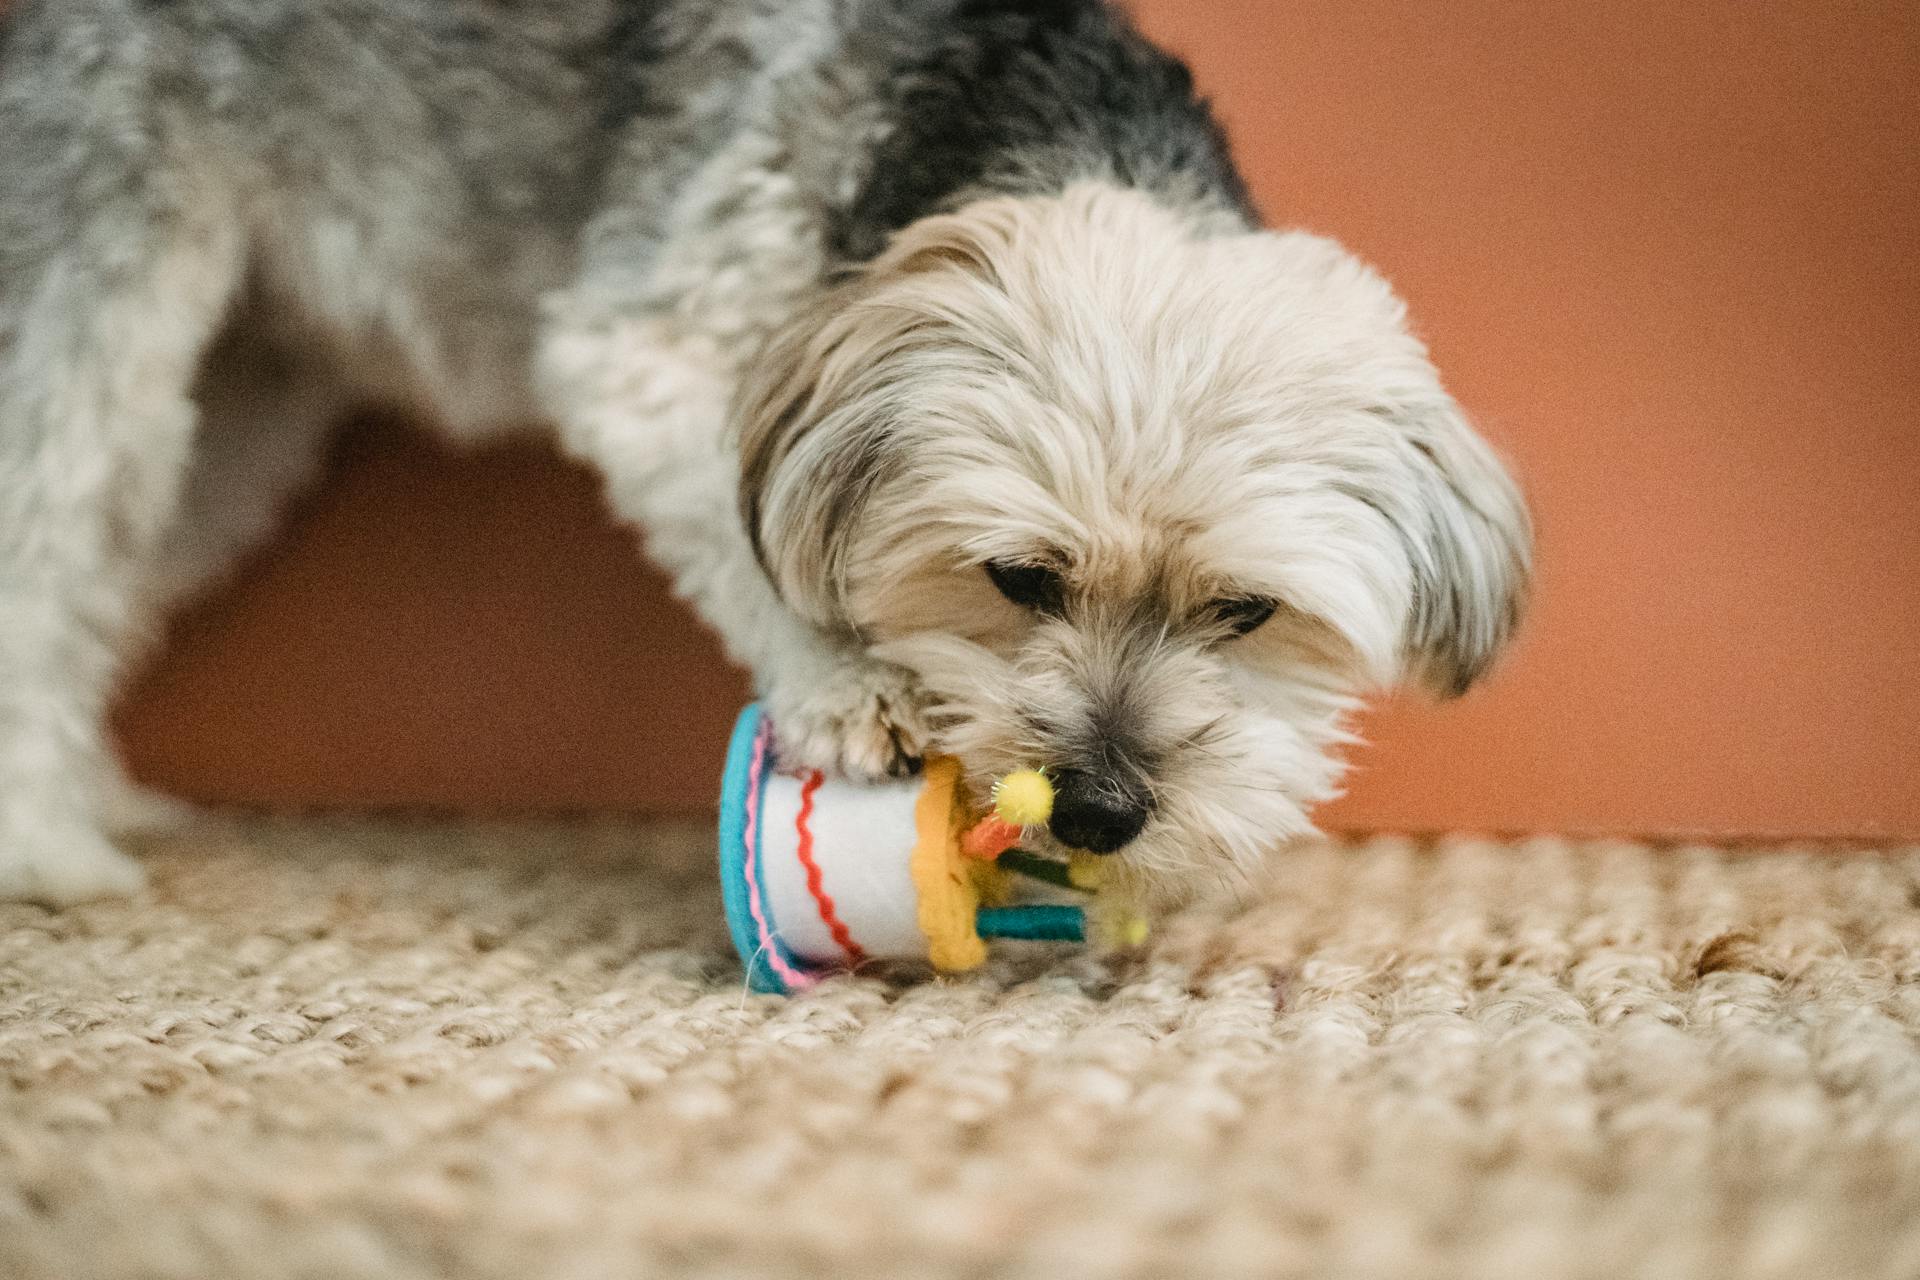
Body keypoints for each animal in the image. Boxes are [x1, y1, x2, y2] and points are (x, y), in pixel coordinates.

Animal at [0, 0, 1528, 901]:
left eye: (1247, 610)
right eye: (1019, 578)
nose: (1100, 808)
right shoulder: (657, 356)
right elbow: (761, 551)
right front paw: (851, 686)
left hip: (239, 413)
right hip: (93, 294)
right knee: (43, 545)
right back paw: (51, 851)